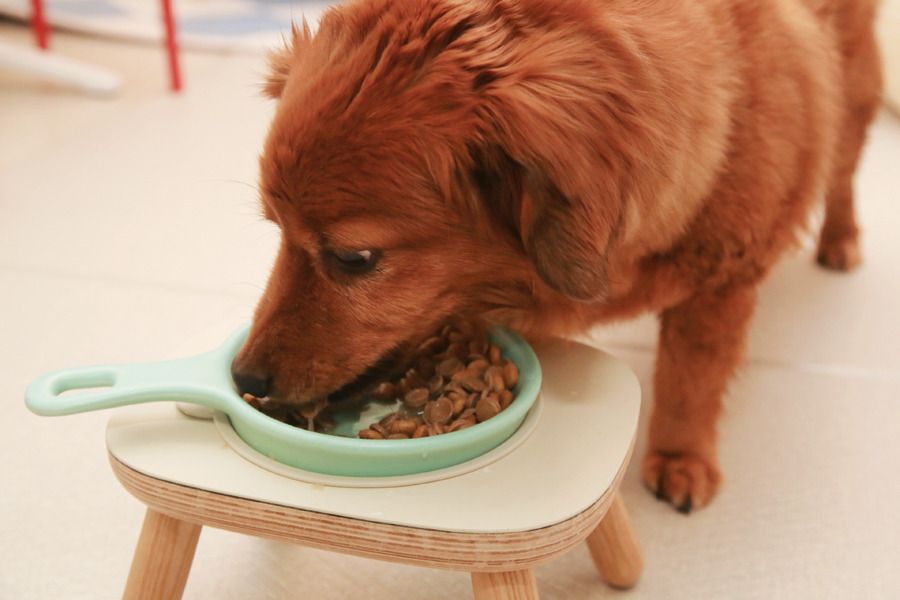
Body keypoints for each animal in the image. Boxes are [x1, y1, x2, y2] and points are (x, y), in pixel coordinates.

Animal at [229, 0, 884, 510]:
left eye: (353, 258)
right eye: (277, 229)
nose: (243, 376)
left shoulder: (723, 281)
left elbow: (690, 379)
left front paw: (682, 455)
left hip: (854, 100)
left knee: (842, 174)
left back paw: (841, 240)